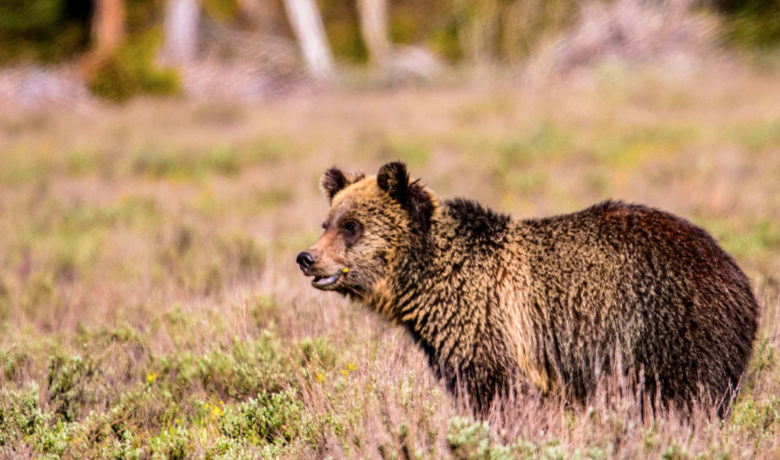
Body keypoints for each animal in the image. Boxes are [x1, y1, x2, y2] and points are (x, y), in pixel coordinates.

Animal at [296, 161, 759, 414]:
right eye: (327, 222)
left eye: (352, 226)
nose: (306, 257)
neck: (430, 281)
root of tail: (736, 272)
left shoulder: (491, 329)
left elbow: (500, 396)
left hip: (672, 328)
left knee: (688, 398)